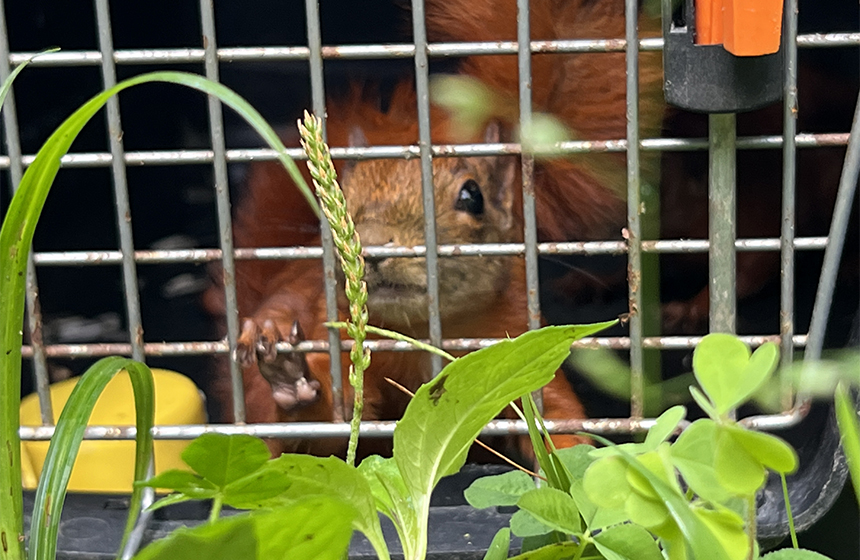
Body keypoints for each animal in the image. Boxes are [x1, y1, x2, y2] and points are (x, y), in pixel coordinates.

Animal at [207, 0, 664, 458]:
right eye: (337, 200)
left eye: (472, 196)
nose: (373, 249)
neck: (415, 332)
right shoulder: (336, 332)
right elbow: (328, 437)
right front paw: (293, 380)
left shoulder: (520, 342)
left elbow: (553, 413)